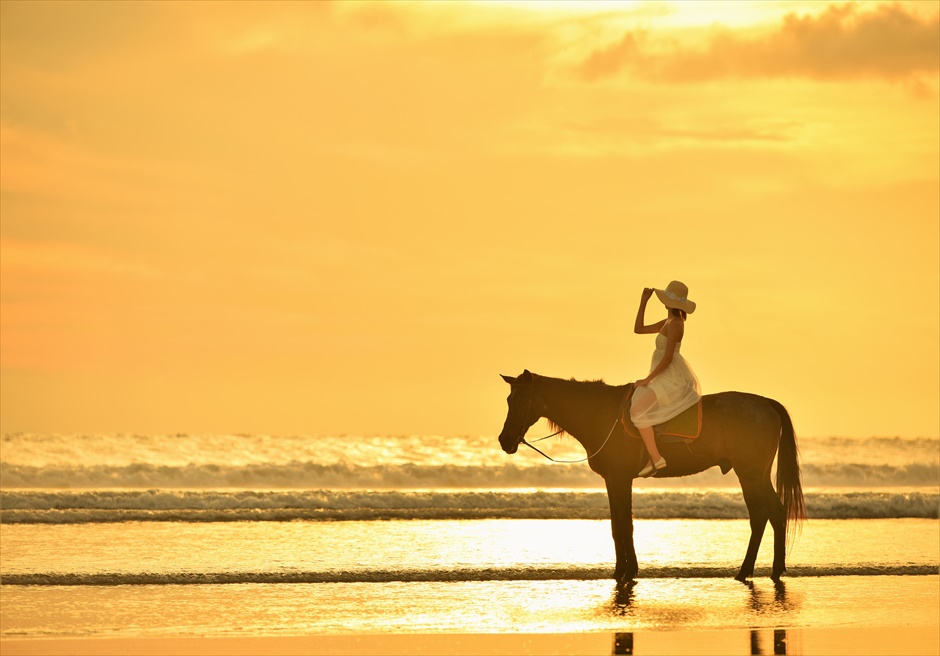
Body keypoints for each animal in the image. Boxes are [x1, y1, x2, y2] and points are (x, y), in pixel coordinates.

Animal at [496, 368, 804, 584]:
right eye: (508, 399)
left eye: (520, 399)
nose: (504, 440)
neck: (599, 414)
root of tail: (766, 404)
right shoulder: (612, 480)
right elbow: (616, 526)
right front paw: (620, 570)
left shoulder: (621, 478)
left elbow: (625, 525)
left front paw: (628, 571)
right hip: (756, 474)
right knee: (772, 514)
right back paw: (768, 570)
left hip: (750, 473)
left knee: (763, 515)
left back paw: (751, 571)